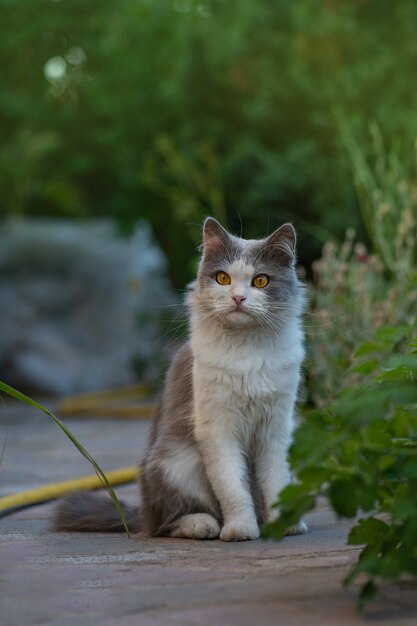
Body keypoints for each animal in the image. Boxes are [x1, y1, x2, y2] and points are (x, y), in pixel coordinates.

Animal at [54, 217, 306, 540]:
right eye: (222, 278)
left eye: (261, 281)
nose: (238, 298)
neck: (247, 350)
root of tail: (143, 512)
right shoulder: (217, 428)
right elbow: (232, 486)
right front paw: (240, 528)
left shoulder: (276, 427)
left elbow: (276, 482)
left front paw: (284, 524)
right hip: (176, 464)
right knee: (167, 523)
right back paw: (204, 525)